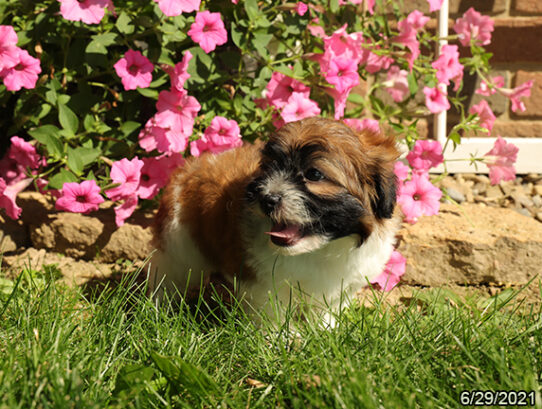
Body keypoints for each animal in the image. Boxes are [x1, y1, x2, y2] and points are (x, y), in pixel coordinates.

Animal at [148, 115, 400, 322]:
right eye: (269, 168)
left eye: (314, 174)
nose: (266, 199)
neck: (321, 250)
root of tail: (191, 168)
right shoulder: (262, 283)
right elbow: (271, 313)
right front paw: (281, 339)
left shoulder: (345, 284)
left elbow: (326, 310)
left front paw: (325, 331)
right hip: (178, 242)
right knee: (169, 275)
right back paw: (158, 309)